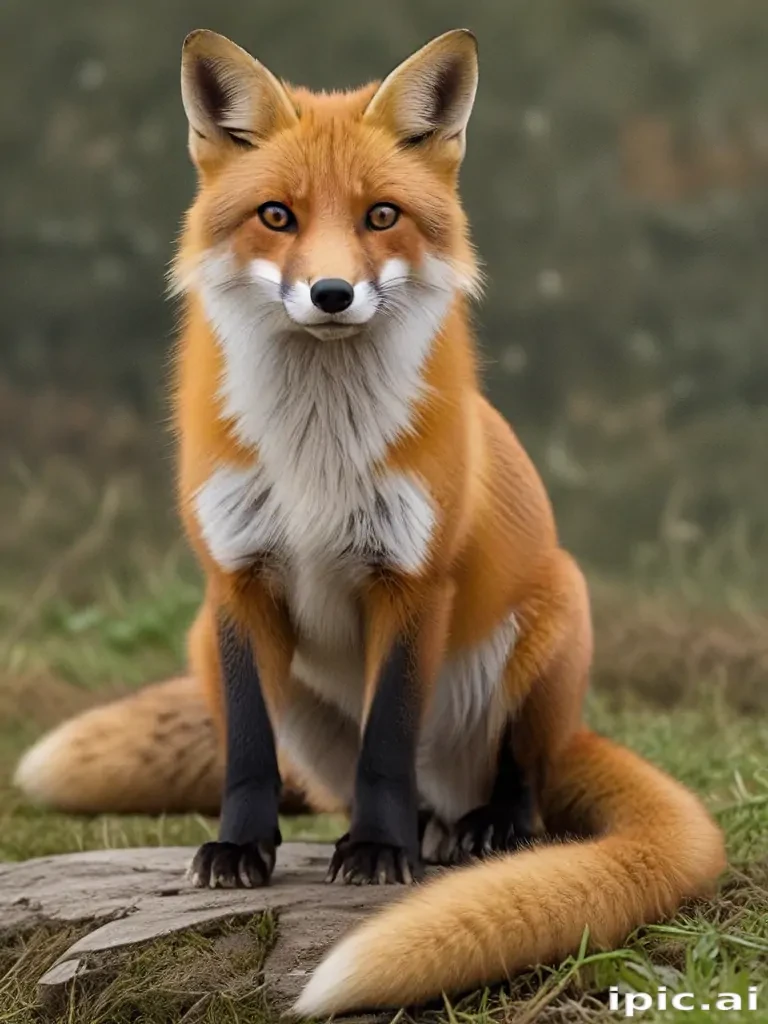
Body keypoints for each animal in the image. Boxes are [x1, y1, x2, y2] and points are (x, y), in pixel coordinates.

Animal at [15, 27, 726, 1016]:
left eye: (381, 216)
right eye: (276, 216)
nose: (331, 294)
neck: (318, 449)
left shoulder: (412, 579)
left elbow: (388, 737)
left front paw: (380, 854)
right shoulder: (234, 579)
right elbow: (248, 749)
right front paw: (240, 849)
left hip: (554, 616)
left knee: (524, 780)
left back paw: (479, 830)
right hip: (219, 655)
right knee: (343, 780)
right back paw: (417, 828)